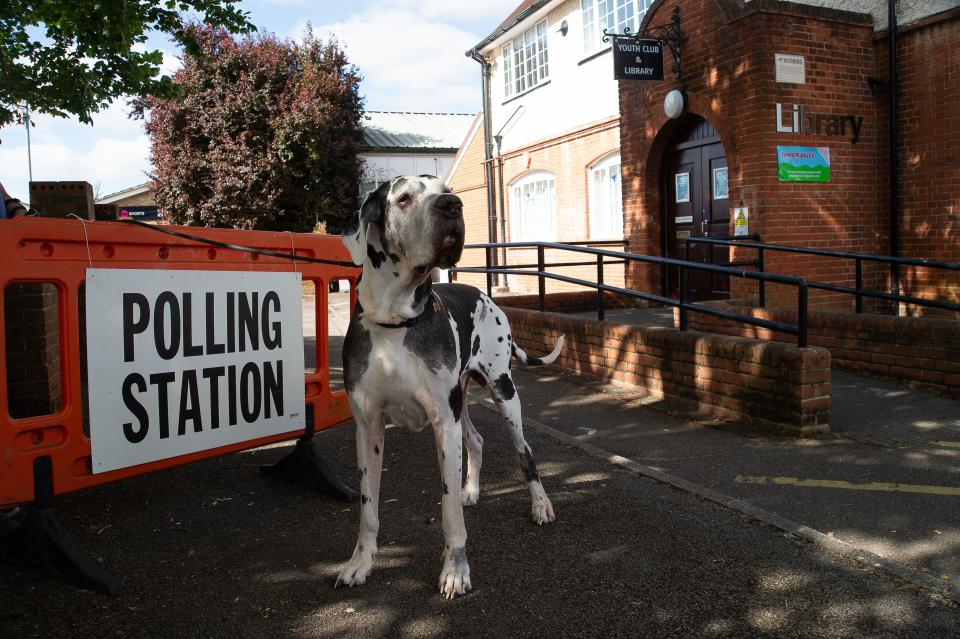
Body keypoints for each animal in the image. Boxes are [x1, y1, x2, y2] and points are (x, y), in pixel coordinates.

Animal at [336, 174, 564, 600]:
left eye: (447, 190)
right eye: (404, 198)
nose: (452, 206)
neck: (395, 320)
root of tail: (481, 292)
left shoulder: (444, 422)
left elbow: (448, 509)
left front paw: (456, 570)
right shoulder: (368, 426)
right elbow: (368, 507)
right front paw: (360, 563)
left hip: (504, 393)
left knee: (525, 452)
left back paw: (540, 505)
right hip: (462, 401)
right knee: (476, 439)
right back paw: (471, 489)